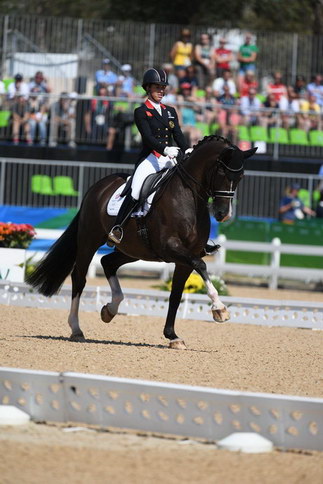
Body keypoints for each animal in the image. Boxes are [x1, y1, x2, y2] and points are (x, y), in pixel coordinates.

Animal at [26, 135, 256, 348]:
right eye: (222, 173)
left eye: (241, 176)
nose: (223, 214)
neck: (188, 197)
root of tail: (98, 187)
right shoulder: (171, 248)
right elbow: (201, 265)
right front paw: (220, 309)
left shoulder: (183, 259)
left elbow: (176, 294)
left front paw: (173, 336)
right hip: (88, 241)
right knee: (79, 278)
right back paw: (76, 328)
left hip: (133, 250)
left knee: (107, 263)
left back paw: (110, 309)